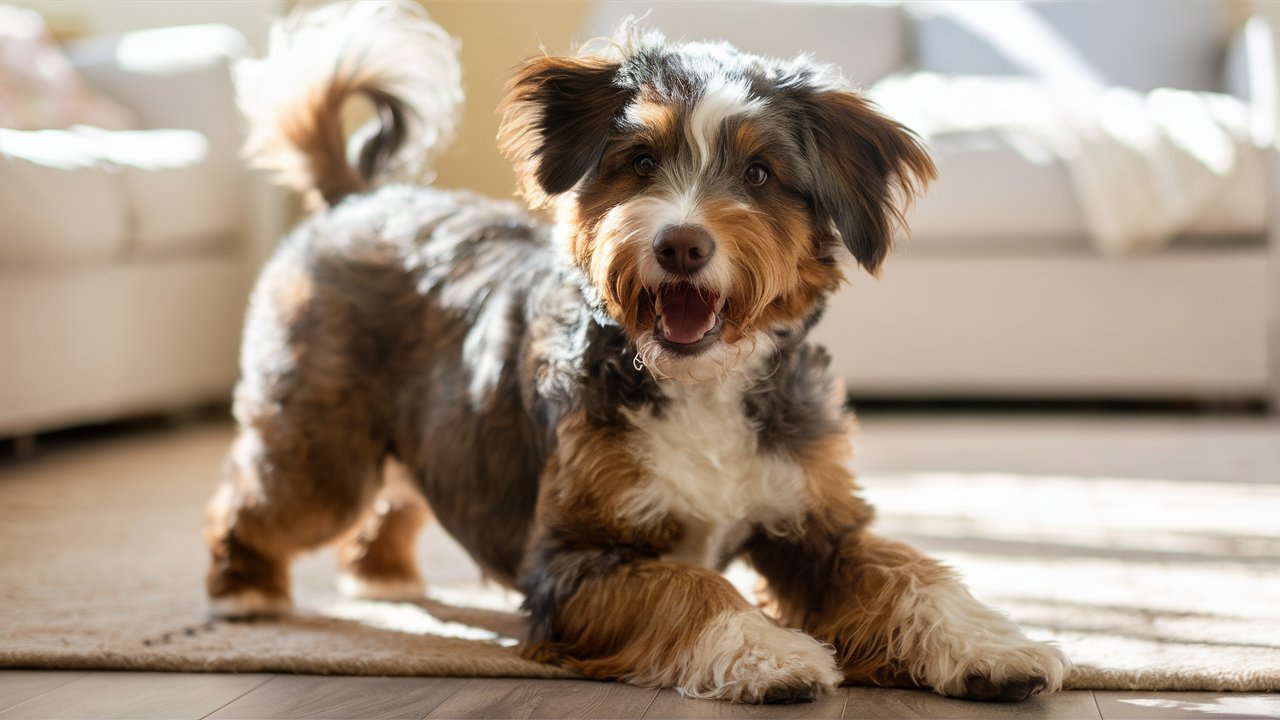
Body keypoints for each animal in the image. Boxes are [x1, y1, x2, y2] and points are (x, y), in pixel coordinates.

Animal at [207, 1, 1070, 702]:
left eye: (761, 173)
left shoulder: (817, 527)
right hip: (324, 453)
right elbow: (691, 587)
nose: (682, 244)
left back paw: (381, 576)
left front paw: (993, 646)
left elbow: (913, 574)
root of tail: (359, 196)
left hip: (428, 435)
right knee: (255, 499)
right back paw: (244, 592)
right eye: (642, 161)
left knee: (398, 496)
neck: (700, 382)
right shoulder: (576, 564)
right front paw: (771, 654)